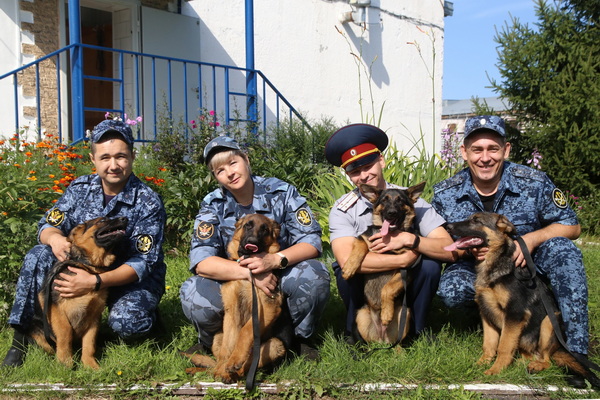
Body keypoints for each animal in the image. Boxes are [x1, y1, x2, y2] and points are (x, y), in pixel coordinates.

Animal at [28, 217, 127, 370]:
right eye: (103, 220)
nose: (125, 219)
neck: (87, 267)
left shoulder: (94, 317)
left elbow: (89, 343)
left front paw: (90, 365)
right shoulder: (57, 310)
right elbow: (65, 333)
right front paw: (65, 363)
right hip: (36, 328)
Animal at [183, 214, 296, 382]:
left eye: (265, 230)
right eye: (248, 226)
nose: (252, 242)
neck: (247, 271)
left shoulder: (267, 308)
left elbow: (245, 331)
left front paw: (234, 360)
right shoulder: (232, 312)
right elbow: (228, 346)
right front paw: (223, 369)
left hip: (276, 345)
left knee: (247, 367)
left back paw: (233, 371)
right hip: (218, 336)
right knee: (218, 361)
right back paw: (210, 371)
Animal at [342, 181, 426, 344]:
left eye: (400, 200)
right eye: (384, 200)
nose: (391, 213)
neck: (389, 236)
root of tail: (381, 338)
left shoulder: (407, 267)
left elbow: (388, 287)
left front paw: (386, 313)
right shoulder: (364, 238)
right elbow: (360, 246)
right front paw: (349, 267)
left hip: (405, 314)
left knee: (398, 343)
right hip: (361, 315)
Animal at [446, 212, 600, 388]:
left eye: (476, 221)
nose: (448, 226)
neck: (496, 264)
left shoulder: (514, 314)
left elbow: (503, 346)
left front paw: (496, 369)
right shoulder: (486, 314)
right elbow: (489, 345)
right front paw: (481, 364)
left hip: (548, 322)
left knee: (546, 359)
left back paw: (535, 366)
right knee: (530, 356)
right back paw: (519, 364)